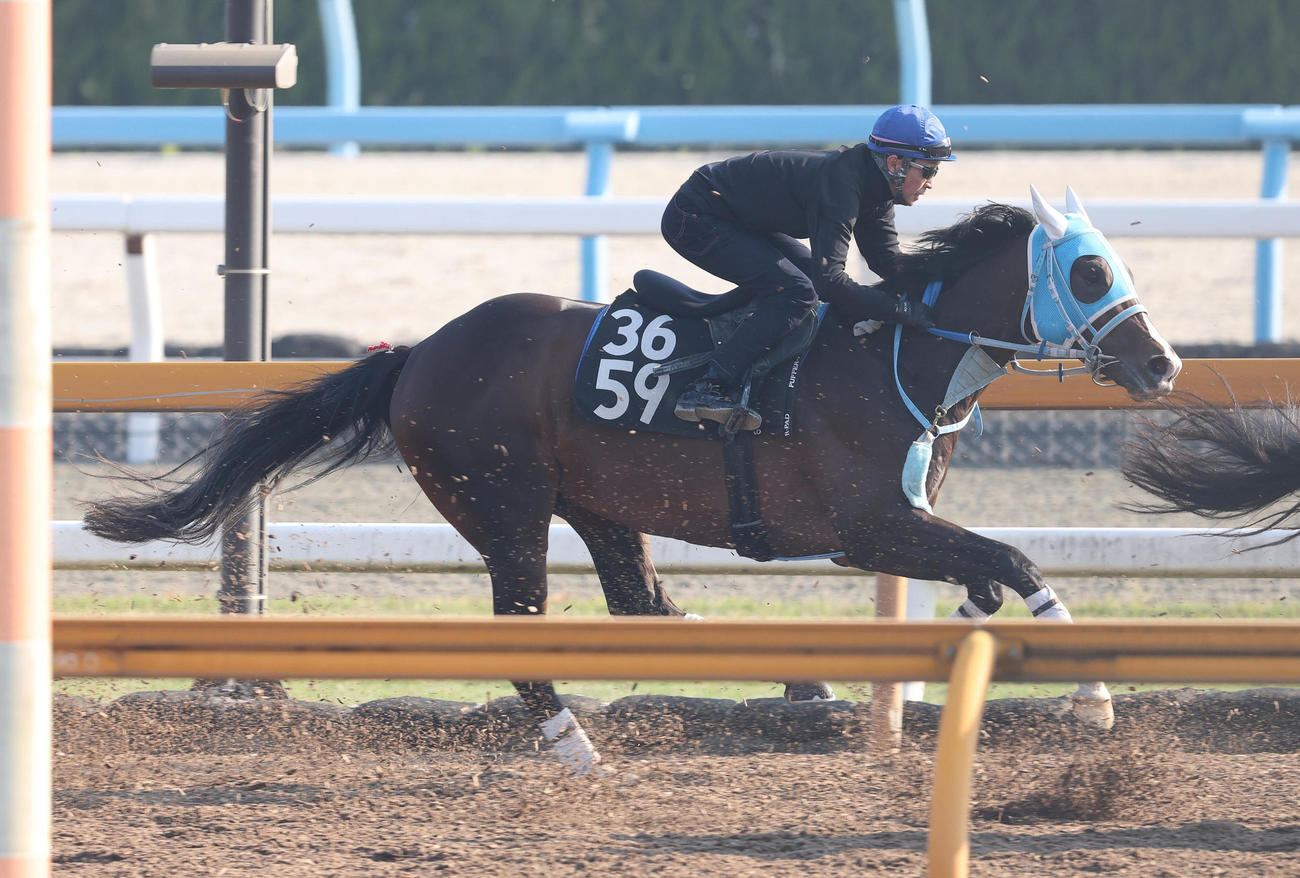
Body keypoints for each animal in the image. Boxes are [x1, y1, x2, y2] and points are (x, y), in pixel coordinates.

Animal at [84, 187, 1181, 774]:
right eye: (1089, 272)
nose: (1162, 363)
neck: (900, 351)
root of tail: (419, 353)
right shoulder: (869, 525)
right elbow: (1017, 558)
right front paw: (1093, 698)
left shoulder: (898, 526)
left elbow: (987, 571)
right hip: (506, 506)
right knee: (525, 630)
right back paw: (577, 742)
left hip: (600, 508)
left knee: (641, 605)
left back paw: (790, 677)